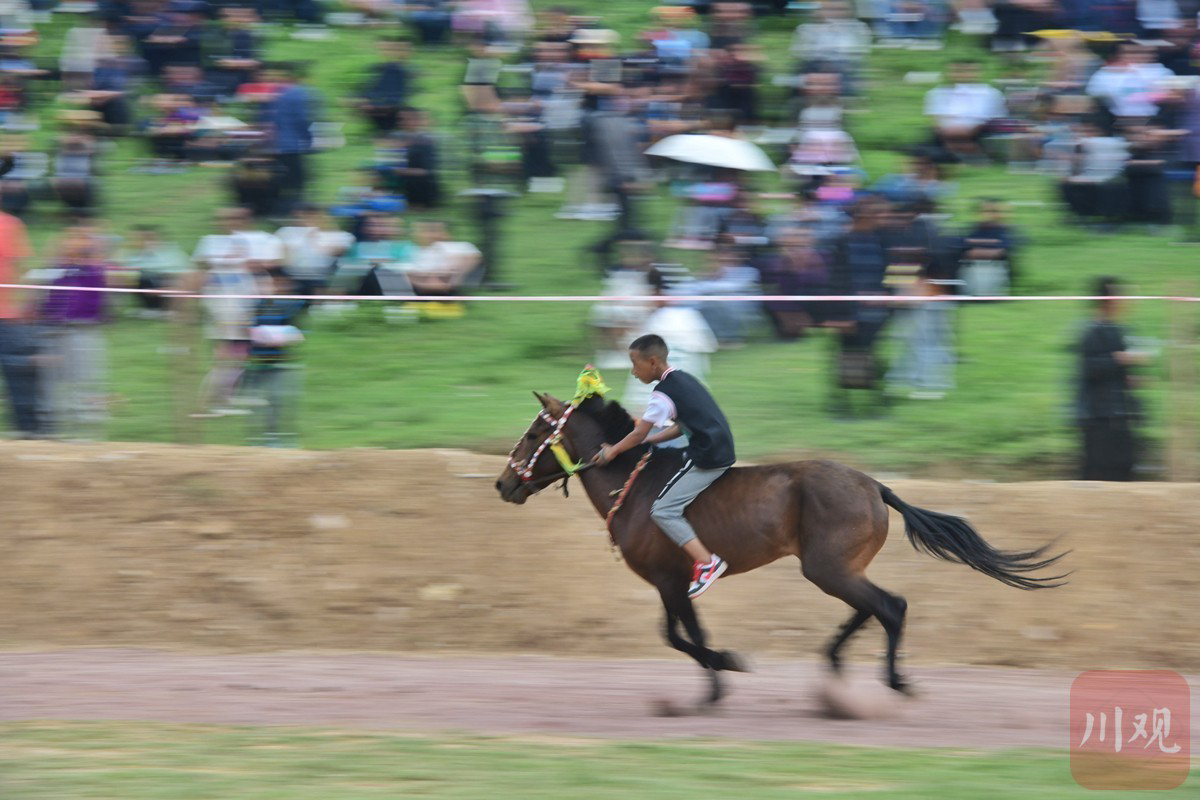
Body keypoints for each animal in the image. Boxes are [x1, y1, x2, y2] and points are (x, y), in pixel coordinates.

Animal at [496, 388, 1070, 705]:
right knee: (876, 608)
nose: (503, 483)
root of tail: (873, 485)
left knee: (891, 606)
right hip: (837, 568)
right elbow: (675, 635)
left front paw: (720, 676)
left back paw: (893, 680)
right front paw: (723, 666)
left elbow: (685, 635)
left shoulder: (671, 580)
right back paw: (838, 665)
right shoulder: (669, 582)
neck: (634, 483)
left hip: (826, 567)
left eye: (533, 434)